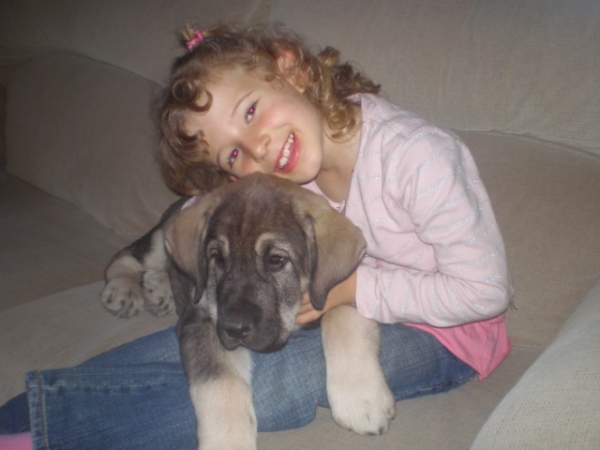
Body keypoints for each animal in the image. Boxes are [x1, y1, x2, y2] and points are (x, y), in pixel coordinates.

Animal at [101, 173, 396, 450]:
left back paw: (158, 291)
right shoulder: (202, 321)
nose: (234, 328)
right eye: (217, 258)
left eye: (276, 260)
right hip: (159, 240)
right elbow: (220, 382)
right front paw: (227, 442)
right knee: (128, 255)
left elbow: (342, 318)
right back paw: (123, 289)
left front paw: (361, 399)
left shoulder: (341, 287)